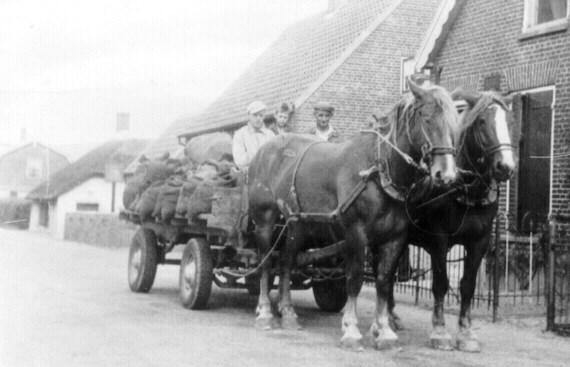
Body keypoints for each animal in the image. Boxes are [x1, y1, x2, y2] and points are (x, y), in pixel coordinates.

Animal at [247, 79, 458, 350]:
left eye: (453, 121)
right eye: (427, 118)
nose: (447, 174)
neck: (378, 171)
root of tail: (264, 151)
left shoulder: (394, 238)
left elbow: (383, 281)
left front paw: (385, 331)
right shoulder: (356, 234)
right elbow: (355, 279)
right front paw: (351, 329)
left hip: (297, 225)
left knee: (285, 262)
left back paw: (289, 313)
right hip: (264, 220)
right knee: (265, 263)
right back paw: (264, 312)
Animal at [394, 90, 516, 354]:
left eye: (510, 121)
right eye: (482, 122)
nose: (505, 167)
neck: (466, 189)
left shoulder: (479, 243)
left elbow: (467, 286)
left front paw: (466, 333)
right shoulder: (439, 240)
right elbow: (441, 283)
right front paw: (440, 331)